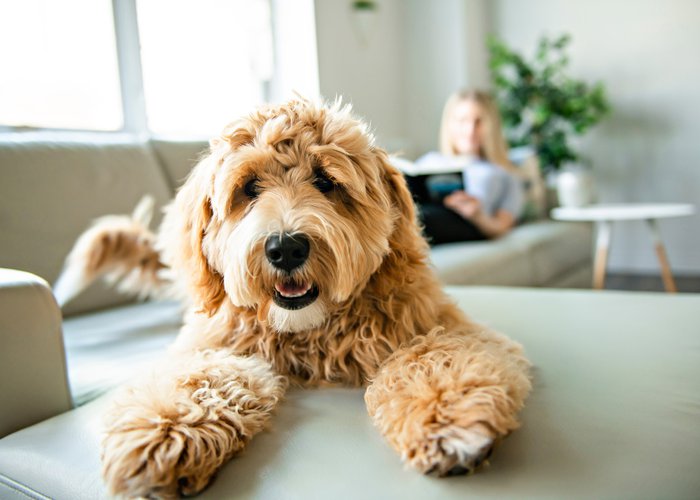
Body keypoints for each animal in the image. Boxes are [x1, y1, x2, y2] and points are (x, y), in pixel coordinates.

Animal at [57, 97, 532, 496]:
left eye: (326, 181)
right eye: (249, 187)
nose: (285, 248)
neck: (309, 332)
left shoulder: (442, 326)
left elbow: (432, 357)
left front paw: (447, 418)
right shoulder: (213, 345)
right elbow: (201, 377)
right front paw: (164, 434)